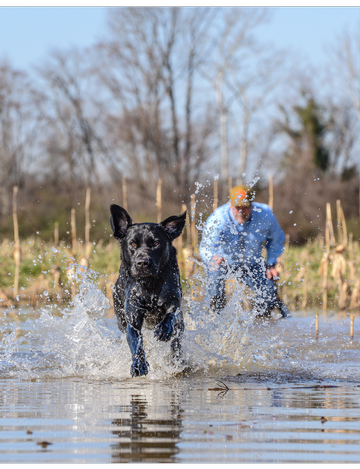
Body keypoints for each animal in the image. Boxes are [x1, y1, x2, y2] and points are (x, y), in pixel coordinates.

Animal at [110, 205, 187, 376]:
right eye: (132, 244)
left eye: (156, 243)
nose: (142, 263)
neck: (150, 285)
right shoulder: (133, 317)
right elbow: (136, 342)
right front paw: (138, 365)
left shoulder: (173, 299)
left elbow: (170, 313)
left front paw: (164, 330)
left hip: (180, 325)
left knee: (177, 342)